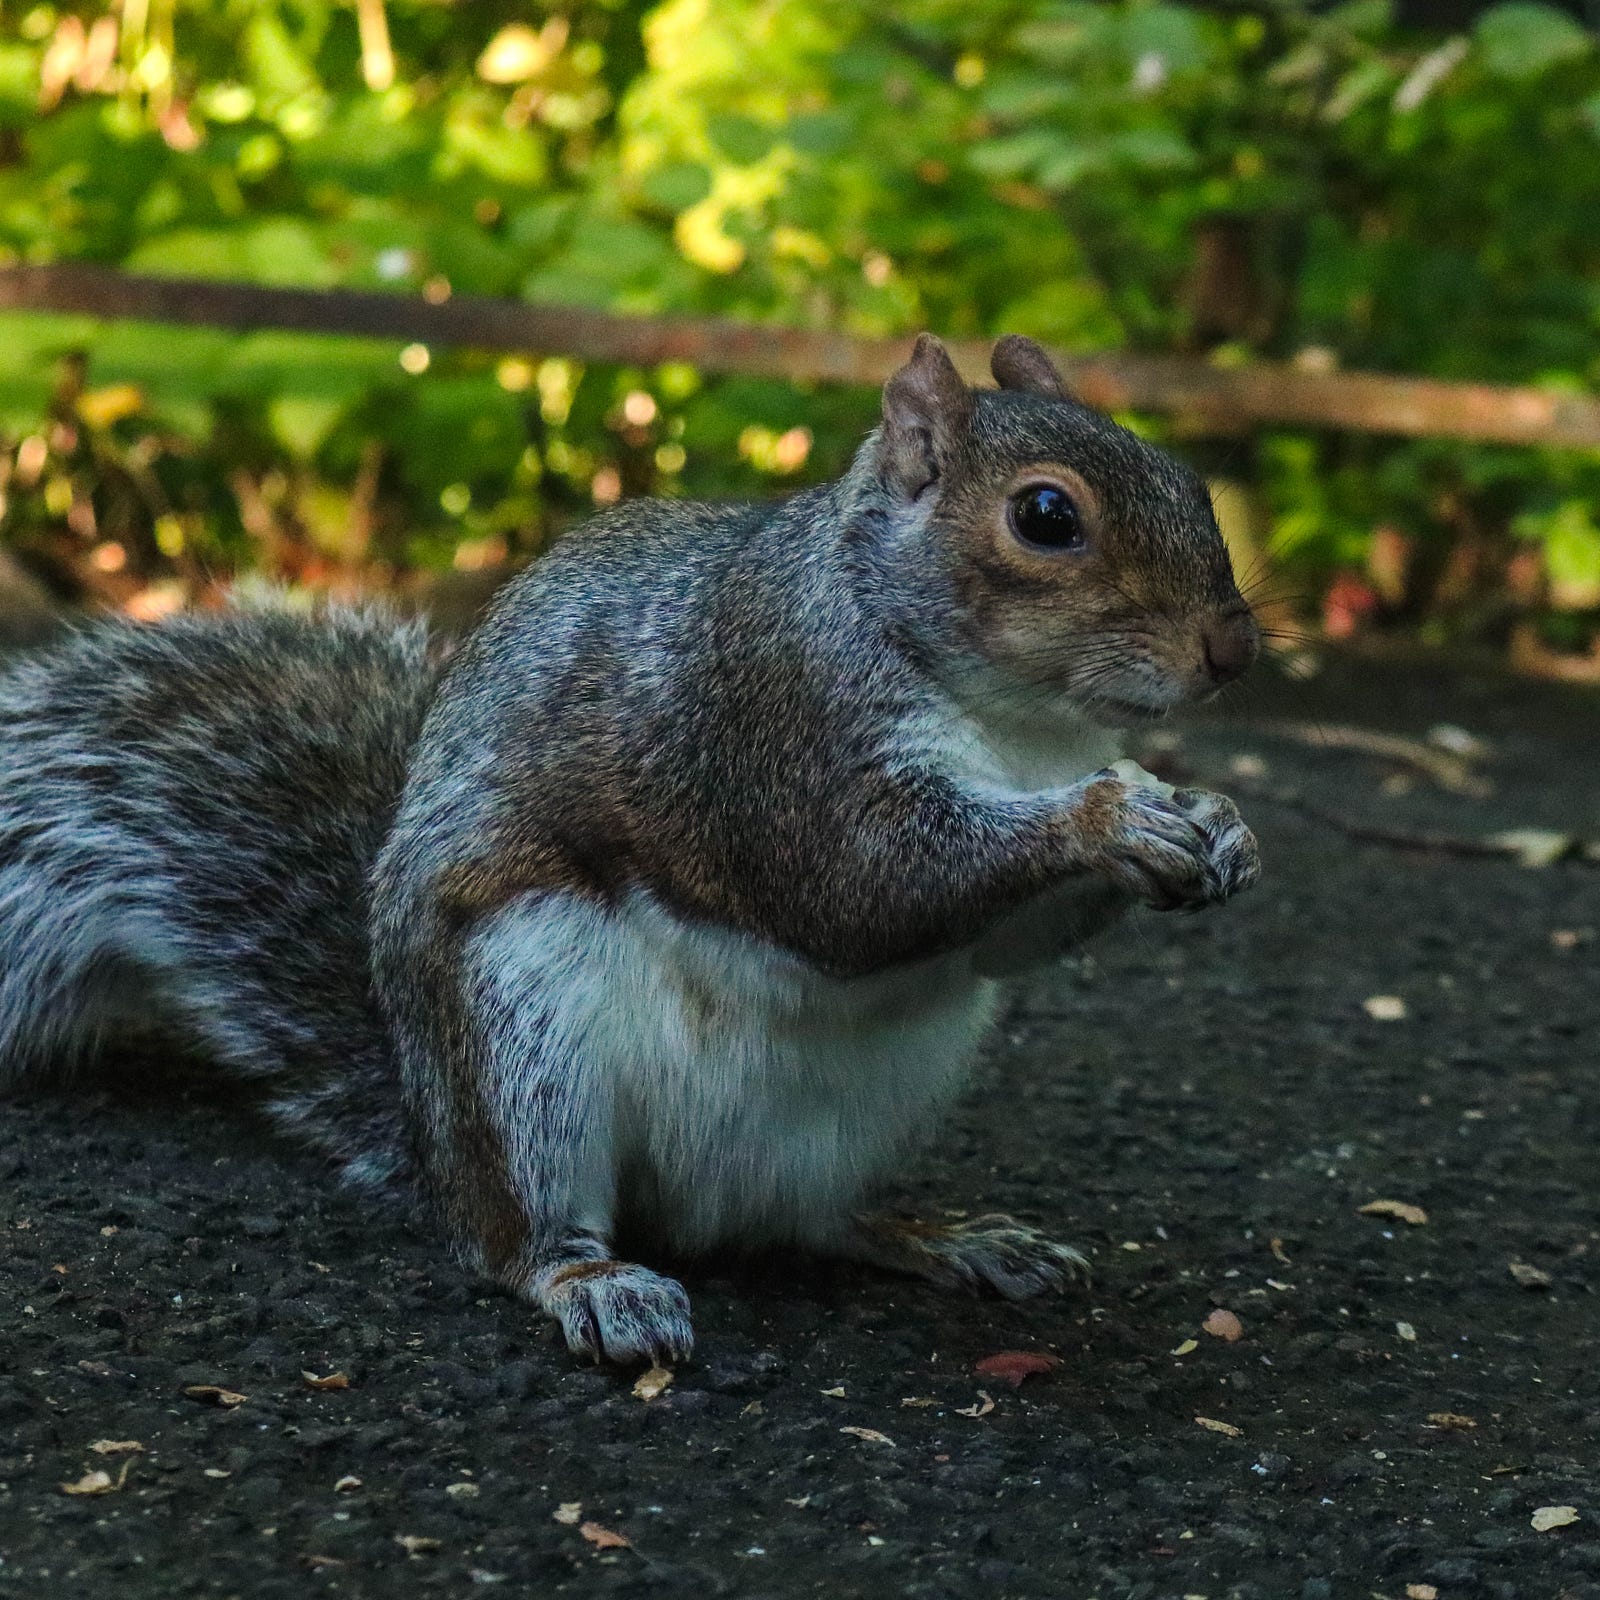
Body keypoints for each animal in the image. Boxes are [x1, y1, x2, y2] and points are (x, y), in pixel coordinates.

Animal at [0, 334, 1260, 1363]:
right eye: (1045, 516)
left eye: (1187, 479)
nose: (1230, 651)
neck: (1019, 725)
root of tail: (428, 1126)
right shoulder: (768, 734)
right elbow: (864, 885)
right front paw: (1111, 819)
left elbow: (999, 940)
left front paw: (1214, 825)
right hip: (519, 1038)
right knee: (516, 1236)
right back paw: (592, 1279)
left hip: (879, 1096)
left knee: (808, 1219)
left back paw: (940, 1234)